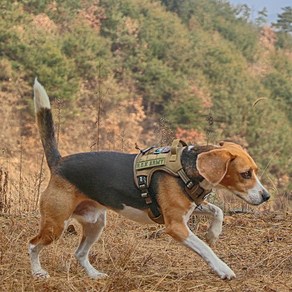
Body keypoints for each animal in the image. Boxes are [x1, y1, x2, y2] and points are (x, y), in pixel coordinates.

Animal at [29, 80, 270, 280]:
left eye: (255, 171)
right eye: (245, 174)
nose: (266, 196)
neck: (186, 167)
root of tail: (59, 162)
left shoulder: (190, 208)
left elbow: (217, 212)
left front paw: (213, 233)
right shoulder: (175, 226)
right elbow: (204, 248)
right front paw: (223, 268)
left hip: (95, 223)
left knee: (79, 253)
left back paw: (94, 275)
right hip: (56, 224)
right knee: (32, 245)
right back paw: (38, 272)